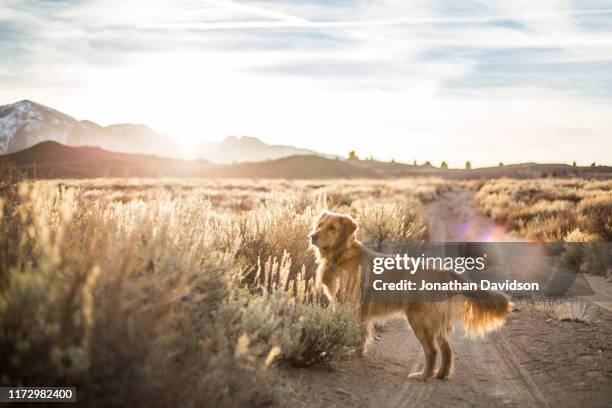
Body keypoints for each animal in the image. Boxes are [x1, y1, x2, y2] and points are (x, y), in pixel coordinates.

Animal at [308, 212, 510, 380]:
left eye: (332, 228)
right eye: (319, 225)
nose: (313, 236)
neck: (341, 254)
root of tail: (443, 272)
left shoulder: (352, 305)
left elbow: (356, 331)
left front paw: (347, 350)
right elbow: (362, 332)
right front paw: (356, 351)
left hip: (419, 319)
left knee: (432, 351)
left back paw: (423, 375)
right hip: (435, 321)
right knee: (446, 349)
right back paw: (441, 374)